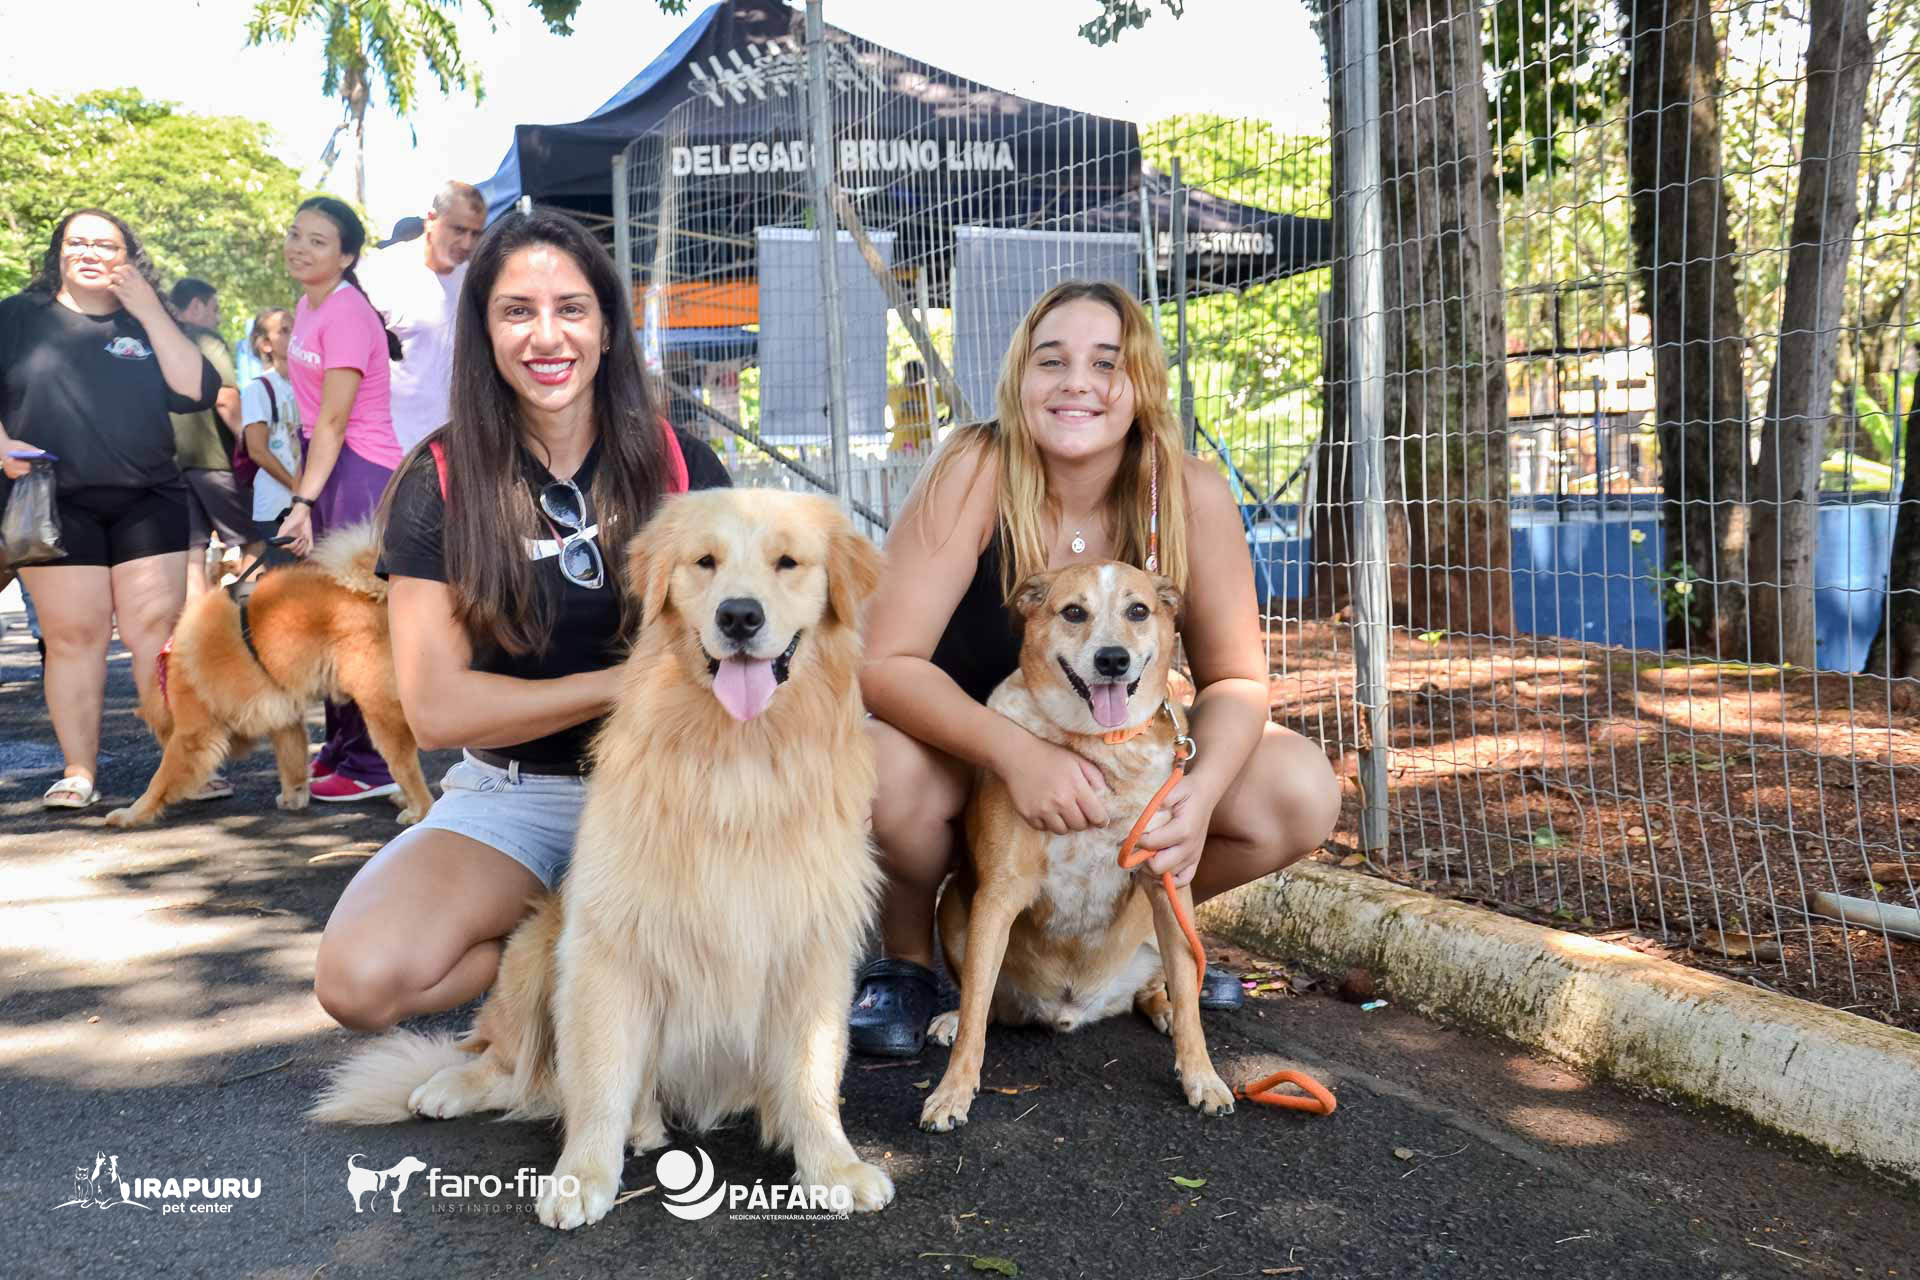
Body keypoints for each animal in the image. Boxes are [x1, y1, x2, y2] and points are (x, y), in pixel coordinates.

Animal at [104, 524, 434, 828]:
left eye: (163, 735)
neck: (169, 675)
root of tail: (377, 594)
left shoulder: (192, 735)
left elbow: (158, 781)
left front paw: (131, 814)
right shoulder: (284, 718)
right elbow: (291, 762)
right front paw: (294, 797)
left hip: (379, 708)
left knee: (407, 765)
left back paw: (418, 810)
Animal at [307, 488, 892, 1231]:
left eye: (788, 562)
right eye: (704, 562)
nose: (738, 616)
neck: (738, 759)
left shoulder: (814, 942)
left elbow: (814, 1072)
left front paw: (833, 1166)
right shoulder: (609, 940)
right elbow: (602, 1072)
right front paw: (582, 1174)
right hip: (536, 947)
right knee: (511, 1065)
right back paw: (455, 1086)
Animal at [920, 561, 1237, 1133]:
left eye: (1139, 610)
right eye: (1073, 611)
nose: (1113, 659)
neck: (1096, 745)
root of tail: (1074, 1009)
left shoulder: (1167, 885)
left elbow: (1191, 1005)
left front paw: (1202, 1077)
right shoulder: (996, 897)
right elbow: (976, 1008)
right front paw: (951, 1093)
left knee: (1165, 986)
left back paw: (1162, 1007)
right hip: (956, 903)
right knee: (986, 1003)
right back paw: (954, 1018)